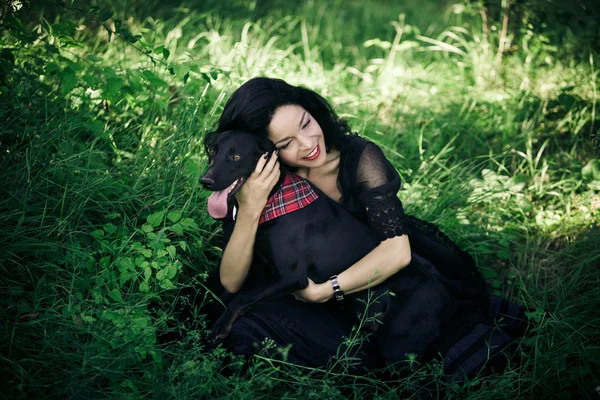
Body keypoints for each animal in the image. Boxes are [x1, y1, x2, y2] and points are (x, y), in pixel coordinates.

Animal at [202, 130, 454, 364]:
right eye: (213, 152)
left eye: (236, 156)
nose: (206, 181)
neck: (273, 198)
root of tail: (443, 296)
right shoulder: (261, 269)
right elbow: (234, 292)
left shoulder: (291, 277)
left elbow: (242, 297)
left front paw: (220, 328)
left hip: (398, 344)